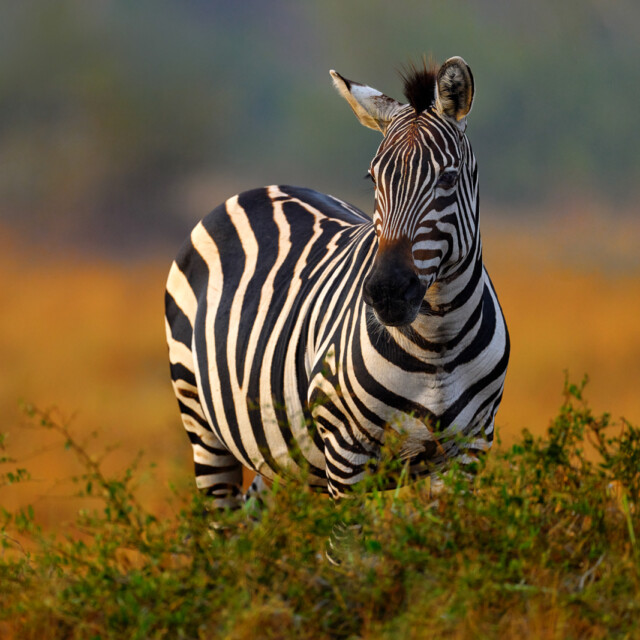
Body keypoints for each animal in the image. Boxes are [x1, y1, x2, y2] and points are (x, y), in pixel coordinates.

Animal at [165, 56, 509, 512]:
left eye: (448, 180)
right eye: (372, 179)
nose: (386, 292)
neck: (438, 343)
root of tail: (259, 189)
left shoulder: (469, 451)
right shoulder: (346, 454)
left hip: (283, 453)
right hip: (201, 421)